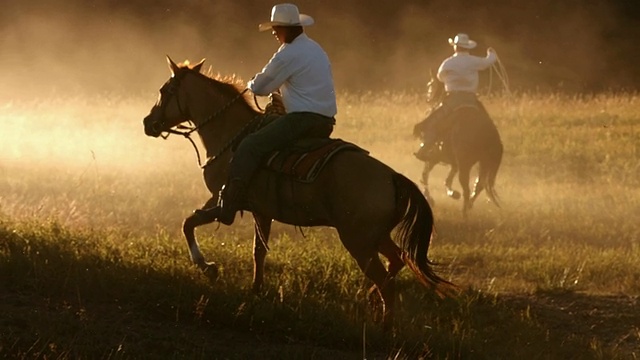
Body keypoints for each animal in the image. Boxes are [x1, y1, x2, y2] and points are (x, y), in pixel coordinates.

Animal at [144, 57, 456, 330]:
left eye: (164, 91)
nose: (148, 123)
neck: (231, 136)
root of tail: (392, 177)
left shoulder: (224, 199)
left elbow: (189, 223)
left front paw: (207, 267)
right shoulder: (261, 210)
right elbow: (258, 251)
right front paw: (255, 290)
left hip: (359, 241)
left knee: (386, 280)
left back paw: (385, 328)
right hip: (375, 237)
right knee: (398, 260)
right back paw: (370, 298)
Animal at [418, 74, 502, 217]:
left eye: (430, 85)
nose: (428, 98)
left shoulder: (435, 156)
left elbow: (425, 174)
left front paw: (430, 198)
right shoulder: (452, 161)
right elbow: (448, 178)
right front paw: (452, 193)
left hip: (465, 164)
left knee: (467, 189)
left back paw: (464, 213)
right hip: (483, 163)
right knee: (478, 186)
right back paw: (468, 206)